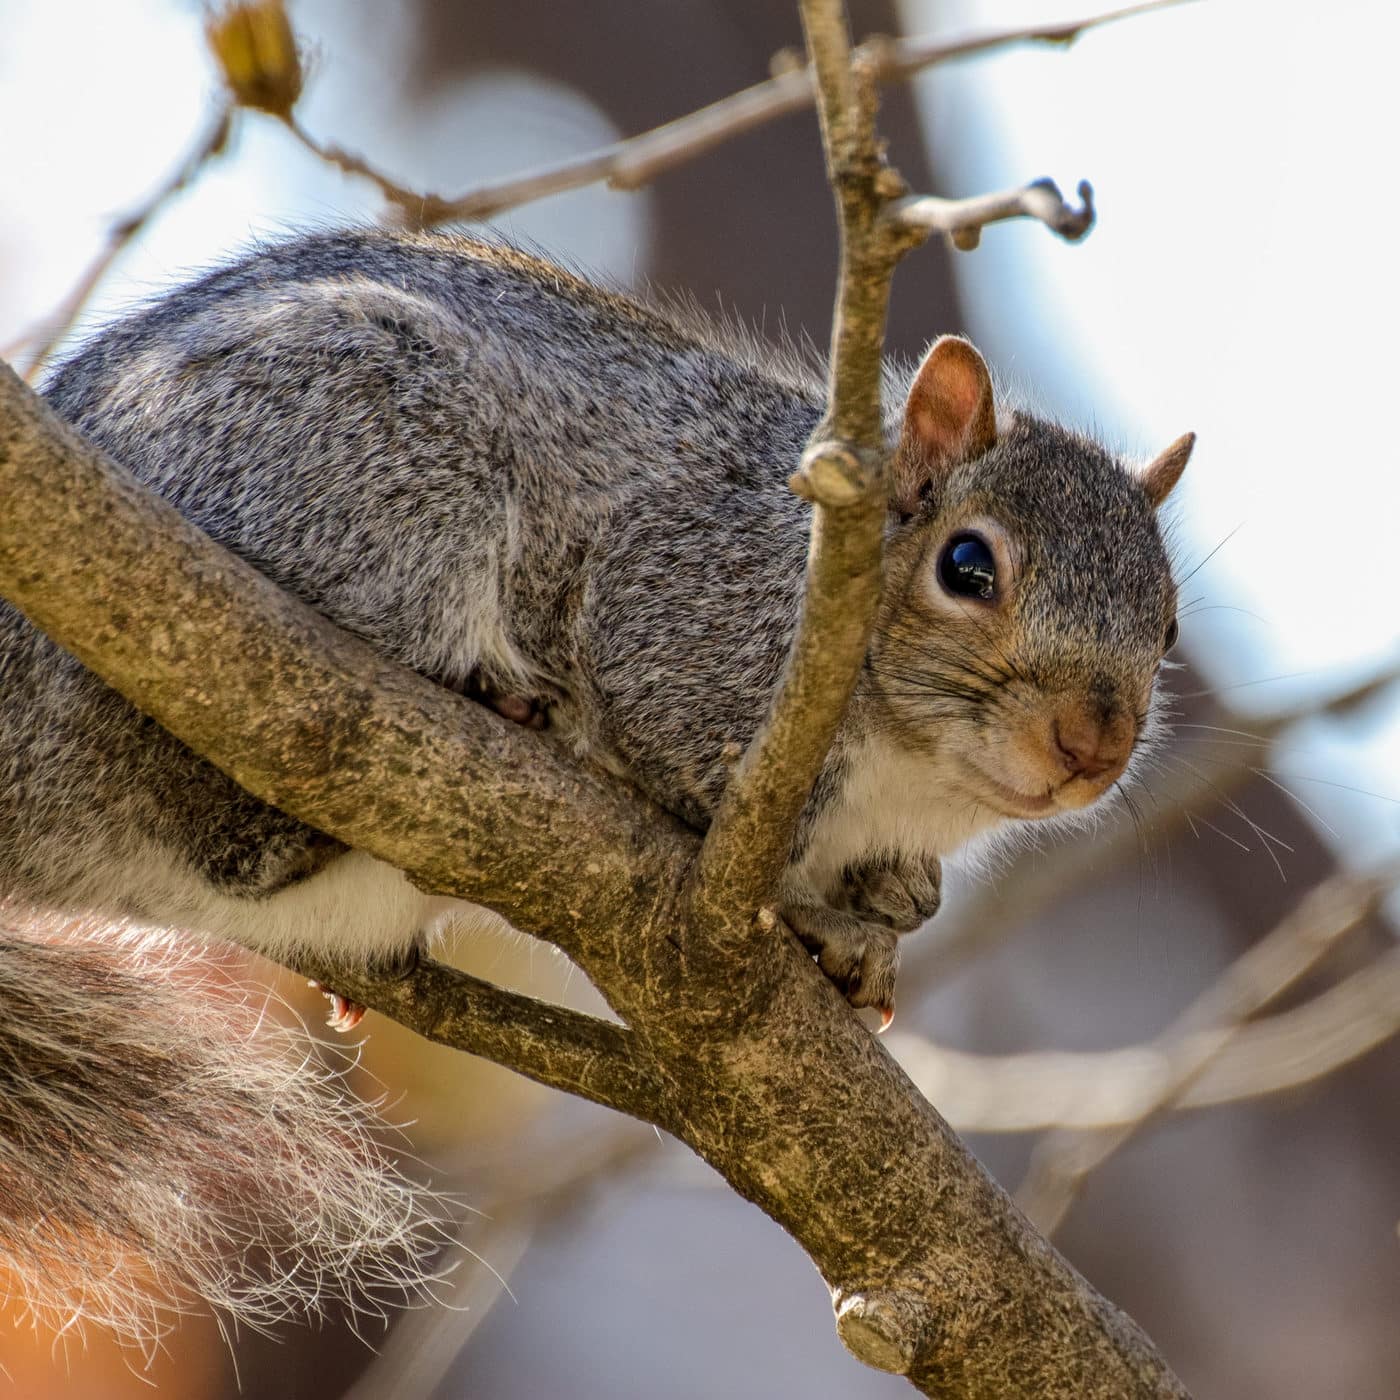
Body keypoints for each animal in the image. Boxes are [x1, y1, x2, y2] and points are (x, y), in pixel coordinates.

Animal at [0, 226, 1192, 1332]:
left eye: (1171, 623)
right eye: (966, 565)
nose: (1091, 742)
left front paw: (889, 912)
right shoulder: (680, 619)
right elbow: (674, 762)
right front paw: (813, 914)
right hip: (347, 472)